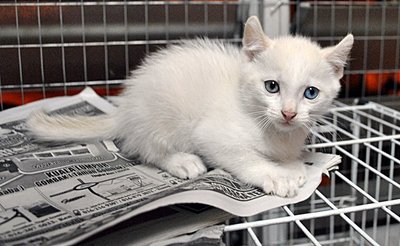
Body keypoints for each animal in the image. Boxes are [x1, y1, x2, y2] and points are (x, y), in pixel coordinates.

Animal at [27, 16, 354, 197]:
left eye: (310, 93)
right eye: (271, 86)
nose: (288, 113)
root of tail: (126, 107)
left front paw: (292, 165)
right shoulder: (213, 135)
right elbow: (245, 158)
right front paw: (275, 175)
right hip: (160, 116)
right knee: (146, 148)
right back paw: (181, 161)